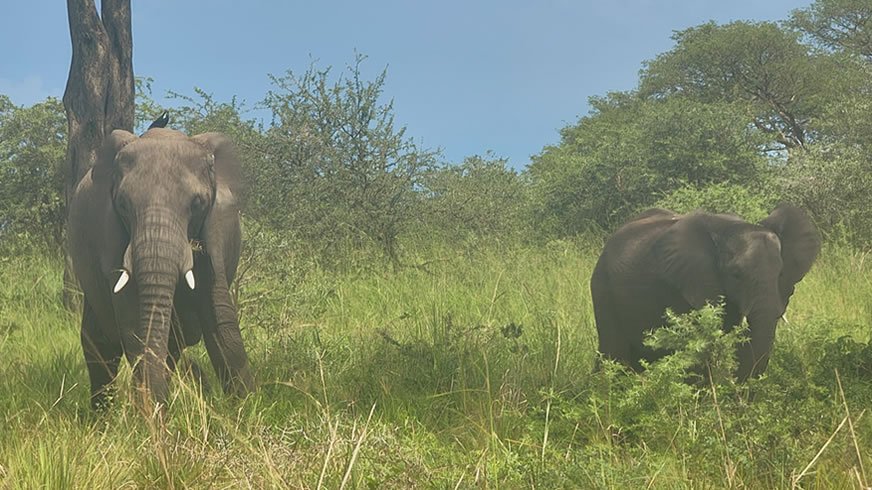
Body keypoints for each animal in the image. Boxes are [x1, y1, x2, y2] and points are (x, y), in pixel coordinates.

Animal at [69, 127, 255, 411]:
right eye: (123, 204)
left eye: (197, 203)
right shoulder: (110, 234)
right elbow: (134, 325)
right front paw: (153, 416)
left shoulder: (216, 226)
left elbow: (221, 318)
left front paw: (249, 410)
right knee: (100, 344)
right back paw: (102, 416)